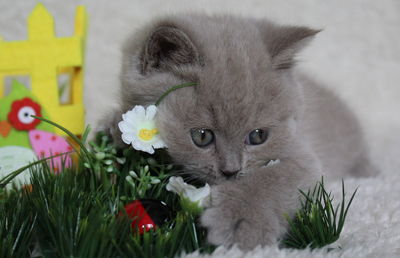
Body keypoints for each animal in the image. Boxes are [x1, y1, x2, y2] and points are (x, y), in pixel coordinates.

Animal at [105, 13, 376, 250]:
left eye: (258, 136)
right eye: (202, 136)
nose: (231, 170)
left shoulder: (302, 155)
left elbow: (271, 180)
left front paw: (240, 223)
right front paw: (114, 134)